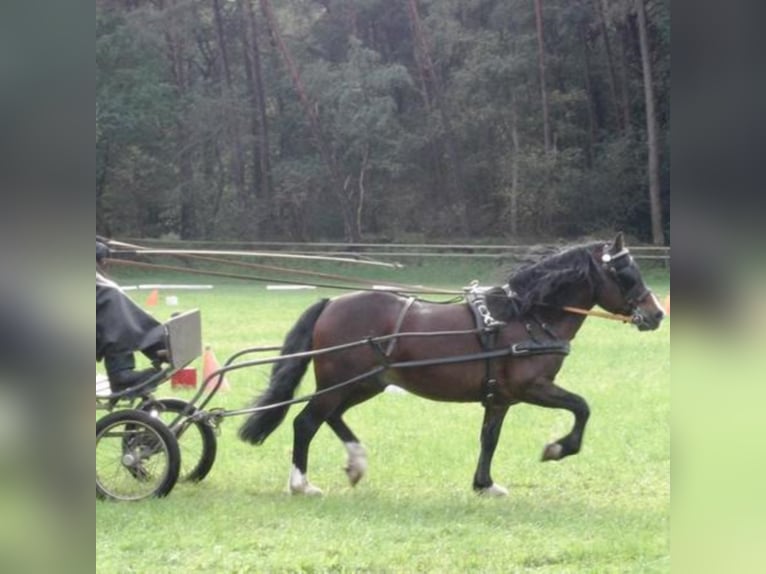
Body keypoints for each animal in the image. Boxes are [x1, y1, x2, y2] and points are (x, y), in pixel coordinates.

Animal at [240, 234, 664, 496]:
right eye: (625, 273)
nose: (657, 313)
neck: (524, 317)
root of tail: (331, 303)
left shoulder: (500, 398)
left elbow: (489, 439)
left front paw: (485, 484)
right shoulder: (533, 387)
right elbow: (582, 407)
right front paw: (557, 449)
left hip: (366, 383)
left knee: (330, 417)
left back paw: (356, 463)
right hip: (341, 382)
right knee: (306, 422)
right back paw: (301, 484)